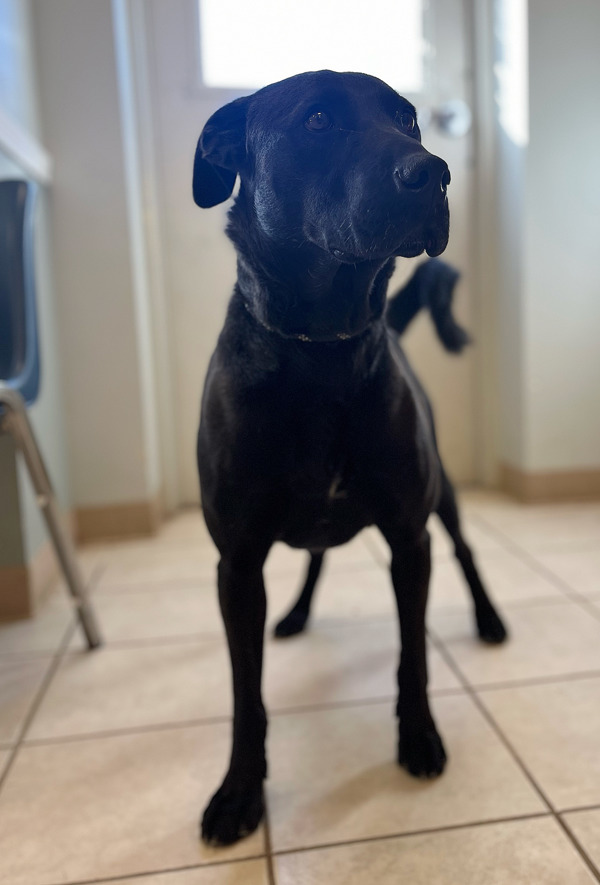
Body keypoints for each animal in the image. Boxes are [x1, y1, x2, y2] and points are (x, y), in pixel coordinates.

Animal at [193, 69, 506, 844]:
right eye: (316, 120)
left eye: (410, 121)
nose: (434, 173)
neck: (323, 353)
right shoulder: (236, 564)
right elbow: (246, 693)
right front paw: (240, 790)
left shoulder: (409, 540)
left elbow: (413, 656)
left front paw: (418, 737)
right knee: (317, 557)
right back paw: (296, 614)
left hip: (442, 496)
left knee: (465, 549)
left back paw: (489, 618)